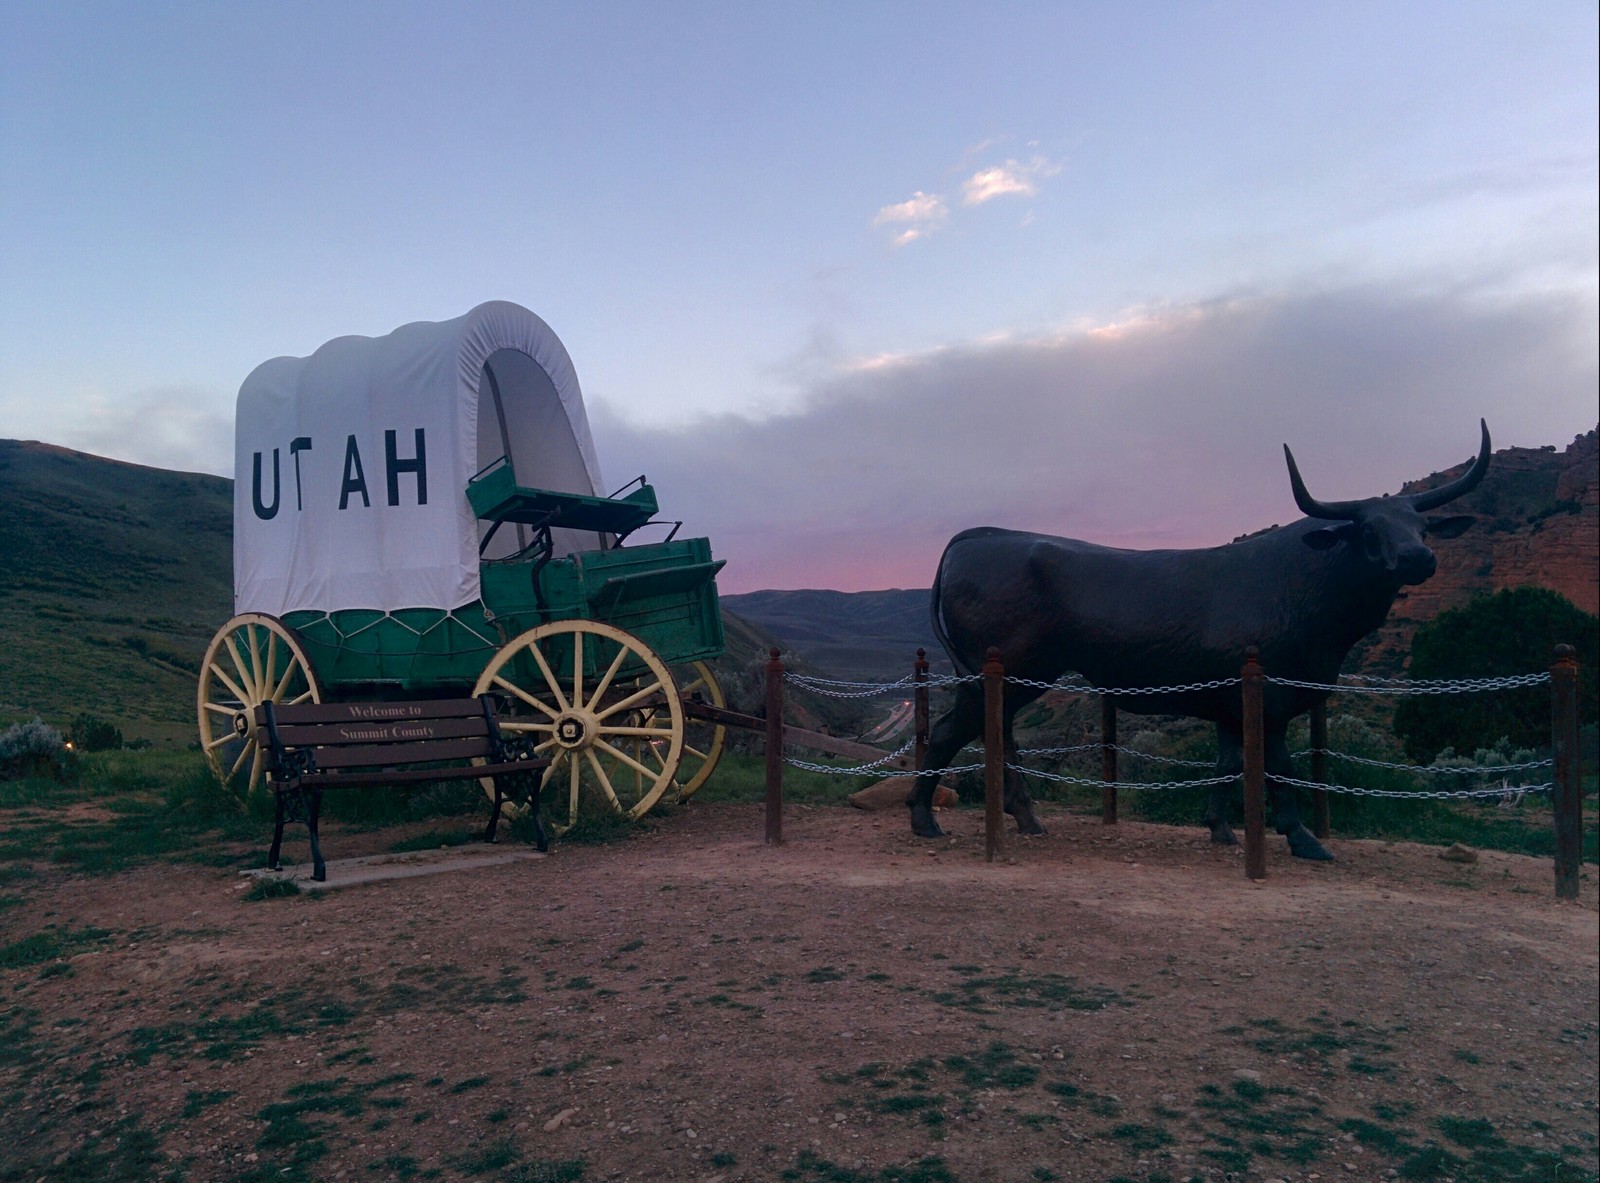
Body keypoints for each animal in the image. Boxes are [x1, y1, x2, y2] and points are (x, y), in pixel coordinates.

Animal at [908, 421, 1491, 860]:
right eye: (1369, 530)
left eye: (1421, 526)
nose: (1418, 557)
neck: (1306, 587)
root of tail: (977, 538)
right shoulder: (1271, 697)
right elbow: (1278, 767)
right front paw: (1302, 838)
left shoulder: (1232, 700)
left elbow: (1229, 764)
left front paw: (1220, 828)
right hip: (1004, 674)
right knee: (949, 733)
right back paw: (923, 819)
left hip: (1009, 677)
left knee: (998, 734)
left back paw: (1025, 817)